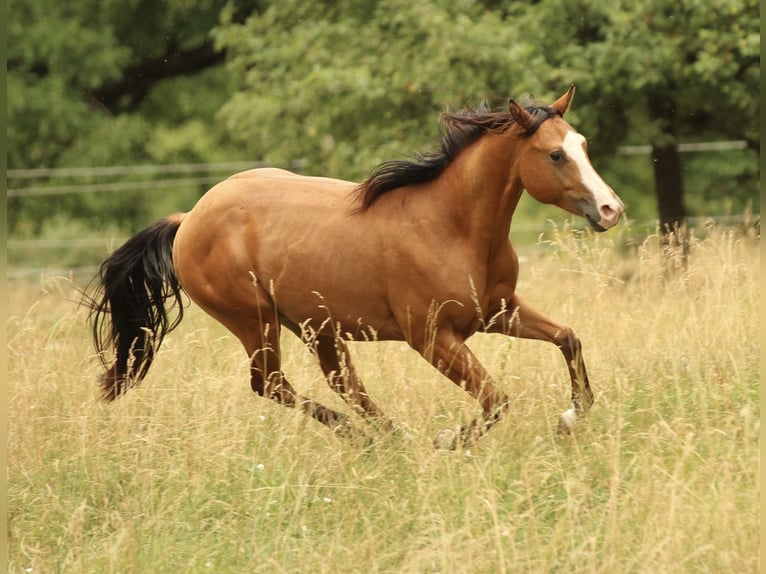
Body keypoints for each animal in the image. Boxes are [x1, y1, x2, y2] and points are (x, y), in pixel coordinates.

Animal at [86, 85, 624, 449]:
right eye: (554, 154)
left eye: (582, 143)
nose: (610, 210)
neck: (451, 226)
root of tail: (188, 220)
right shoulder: (432, 338)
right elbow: (497, 400)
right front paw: (447, 440)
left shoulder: (497, 311)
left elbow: (568, 338)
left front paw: (571, 417)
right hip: (255, 320)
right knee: (271, 384)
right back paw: (369, 438)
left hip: (315, 325)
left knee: (341, 383)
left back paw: (388, 438)